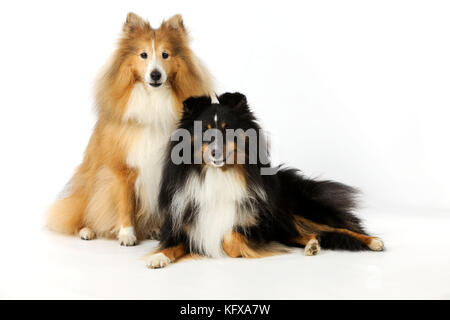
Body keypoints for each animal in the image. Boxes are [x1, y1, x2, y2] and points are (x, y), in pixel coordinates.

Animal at [47, 11, 214, 244]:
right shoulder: (122, 169)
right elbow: (125, 203)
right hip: (89, 186)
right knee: (77, 213)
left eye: (165, 54)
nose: (155, 75)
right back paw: (87, 231)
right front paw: (127, 234)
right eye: (143, 55)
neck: (153, 100)